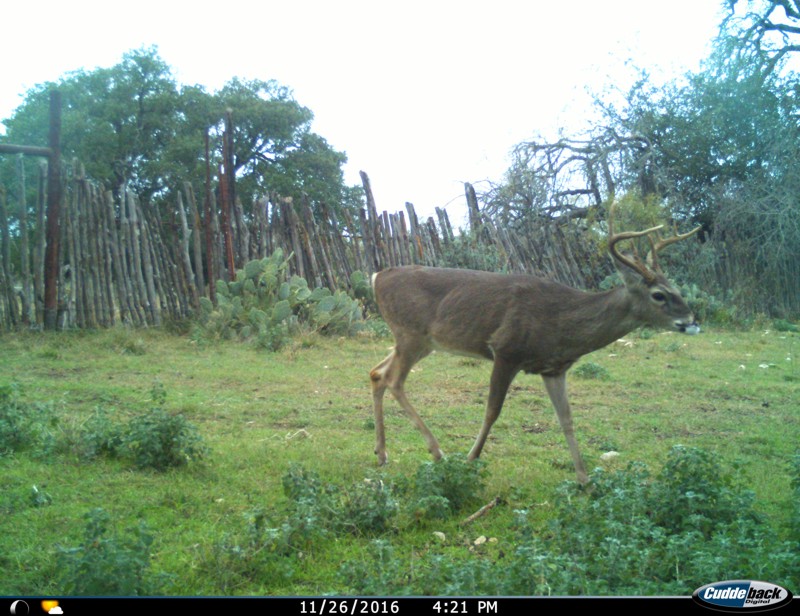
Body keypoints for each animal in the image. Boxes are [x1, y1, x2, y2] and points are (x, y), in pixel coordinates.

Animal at [368, 205, 701, 485]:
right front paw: (470, 460)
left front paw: (585, 481)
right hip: (410, 333)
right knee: (393, 380)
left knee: (376, 373)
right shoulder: (506, 350)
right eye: (659, 294)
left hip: (419, 341)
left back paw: (382, 453)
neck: (562, 322)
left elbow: (567, 419)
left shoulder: (553, 368)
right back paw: (438, 452)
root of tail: (377, 276)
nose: (691, 320)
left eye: (675, 287)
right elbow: (492, 411)